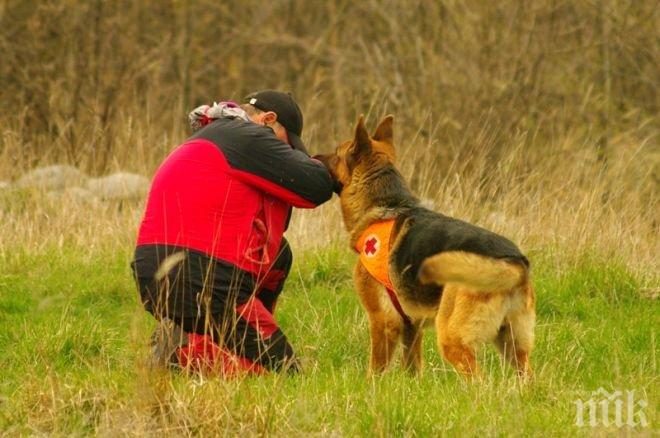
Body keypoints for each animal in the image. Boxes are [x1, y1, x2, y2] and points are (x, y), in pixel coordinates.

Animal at [318, 116, 532, 380]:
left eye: (336, 153)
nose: (312, 156)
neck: (386, 204)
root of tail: (513, 262)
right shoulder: (412, 325)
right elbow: (412, 368)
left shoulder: (382, 321)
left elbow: (375, 369)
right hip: (514, 347)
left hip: (452, 338)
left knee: (479, 380)